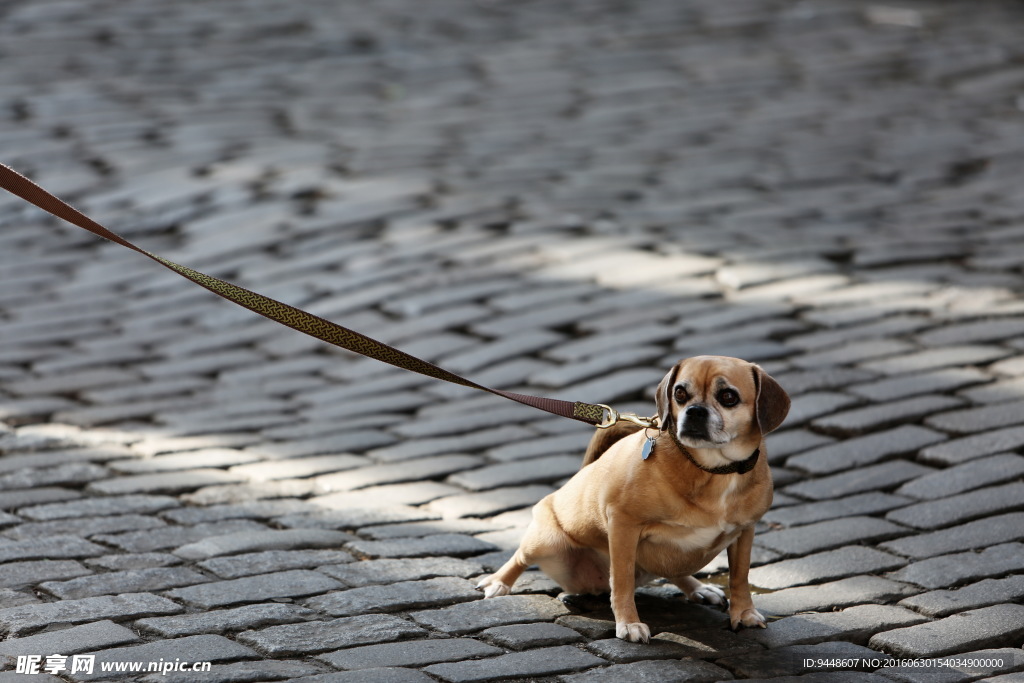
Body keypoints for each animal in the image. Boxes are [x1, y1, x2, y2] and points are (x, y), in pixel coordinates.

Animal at [475, 358, 786, 643]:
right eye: (680, 394)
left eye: (728, 397)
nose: (694, 411)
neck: (712, 470)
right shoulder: (624, 525)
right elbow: (622, 580)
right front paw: (629, 623)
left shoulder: (745, 531)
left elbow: (740, 576)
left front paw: (743, 613)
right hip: (545, 542)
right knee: (520, 557)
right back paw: (498, 582)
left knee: (674, 570)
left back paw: (699, 588)